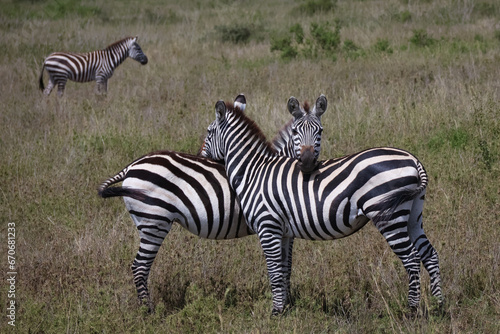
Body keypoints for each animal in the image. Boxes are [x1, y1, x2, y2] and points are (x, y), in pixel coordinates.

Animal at [98, 94, 328, 310]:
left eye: (320, 132)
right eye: (296, 133)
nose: (308, 162)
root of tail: (131, 166)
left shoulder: (284, 228)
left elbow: (286, 266)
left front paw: (288, 303)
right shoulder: (279, 224)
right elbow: (284, 266)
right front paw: (286, 305)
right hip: (153, 221)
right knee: (139, 267)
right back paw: (148, 311)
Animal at [201, 99, 444, 316]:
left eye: (208, 132)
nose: (201, 157)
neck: (253, 171)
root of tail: (413, 160)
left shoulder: (267, 226)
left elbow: (274, 271)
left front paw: (275, 312)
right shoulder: (284, 231)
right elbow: (284, 268)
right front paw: (285, 308)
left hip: (390, 217)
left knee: (411, 259)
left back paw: (412, 310)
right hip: (412, 214)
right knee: (429, 254)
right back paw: (439, 306)